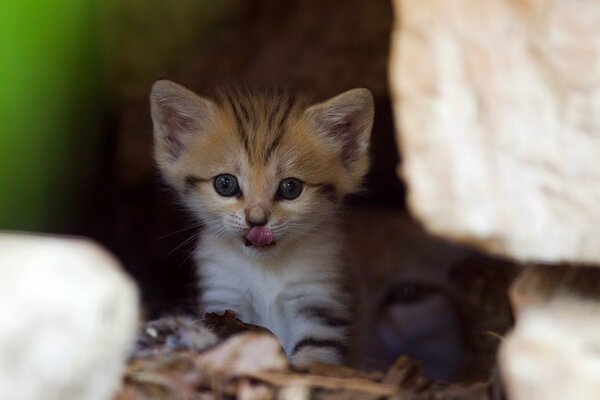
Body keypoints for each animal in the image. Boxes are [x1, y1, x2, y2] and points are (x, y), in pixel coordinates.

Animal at [149, 79, 372, 368]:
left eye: (291, 187)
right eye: (225, 184)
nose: (257, 220)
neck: (265, 268)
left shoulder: (318, 300)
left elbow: (315, 355)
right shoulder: (224, 297)